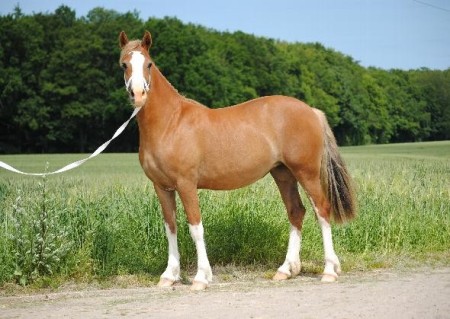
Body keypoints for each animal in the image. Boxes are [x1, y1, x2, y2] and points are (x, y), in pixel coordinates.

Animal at [118, 31, 356, 292]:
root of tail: (312, 111)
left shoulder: (186, 184)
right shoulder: (162, 187)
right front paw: (169, 276)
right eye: (124, 64)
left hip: (307, 173)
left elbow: (195, 228)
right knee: (296, 211)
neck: (171, 123)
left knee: (321, 210)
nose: (138, 94)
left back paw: (329, 271)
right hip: (283, 174)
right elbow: (171, 226)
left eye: (149, 64)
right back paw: (285, 270)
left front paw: (201, 277)